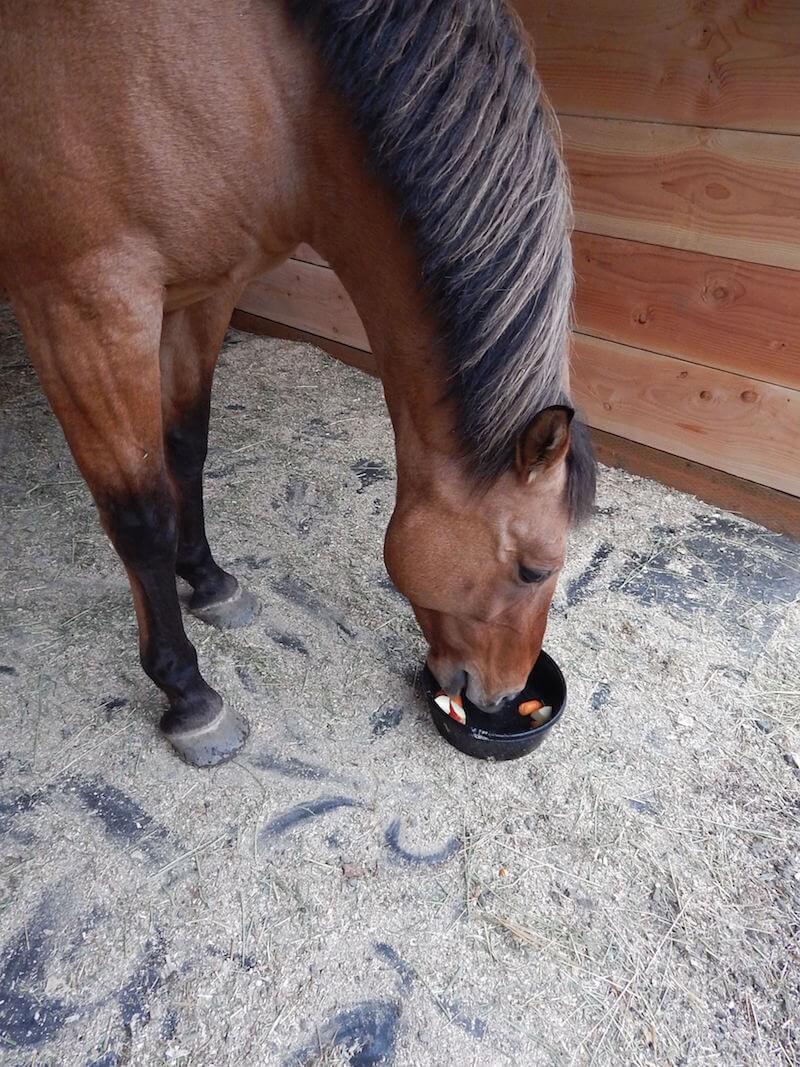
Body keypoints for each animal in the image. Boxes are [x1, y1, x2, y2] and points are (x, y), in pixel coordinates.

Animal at [0, 0, 596, 766]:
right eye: (531, 571)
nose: (503, 693)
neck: (269, 86)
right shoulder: (81, 310)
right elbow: (140, 517)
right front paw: (189, 695)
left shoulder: (204, 293)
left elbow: (187, 446)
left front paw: (210, 583)